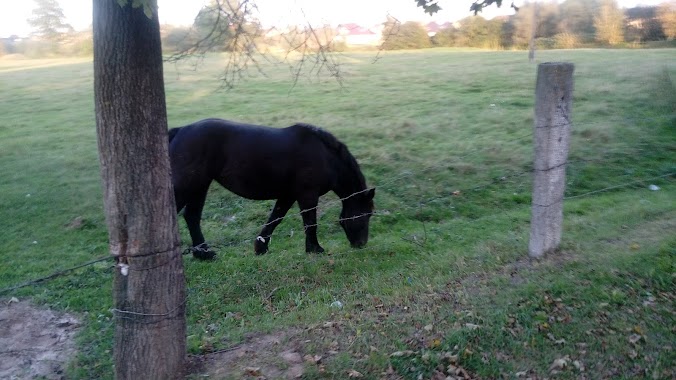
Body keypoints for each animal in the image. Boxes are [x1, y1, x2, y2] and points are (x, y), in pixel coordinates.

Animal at [166, 119, 372, 262]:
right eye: (367, 214)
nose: (361, 244)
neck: (325, 157)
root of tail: (180, 130)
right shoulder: (307, 195)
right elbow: (310, 222)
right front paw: (315, 249)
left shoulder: (288, 195)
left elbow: (276, 218)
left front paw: (261, 247)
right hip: (189, 185)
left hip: (200, 186)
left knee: (192, 217)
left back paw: (204, 254)